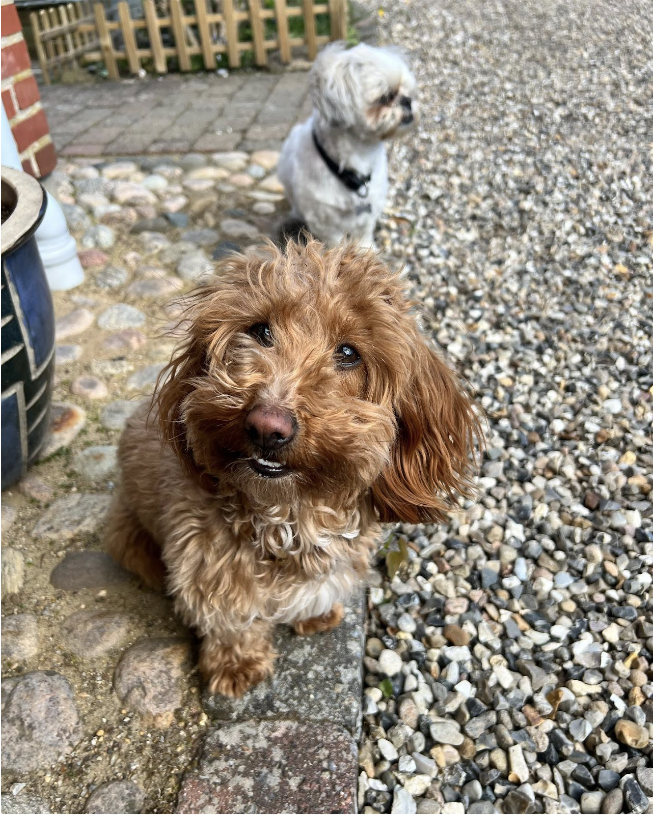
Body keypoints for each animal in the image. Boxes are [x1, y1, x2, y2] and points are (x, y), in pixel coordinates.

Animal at [280, 42, 418, 245]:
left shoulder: (367, 216)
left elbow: (364, 240)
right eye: (385, 97)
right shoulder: (325, 222)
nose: (408, 101)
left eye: (406, 91)